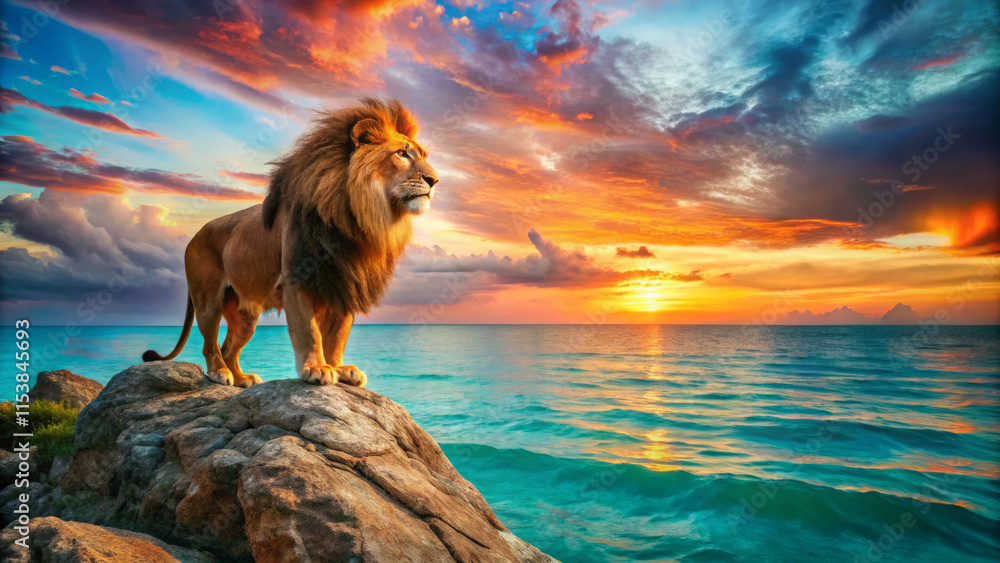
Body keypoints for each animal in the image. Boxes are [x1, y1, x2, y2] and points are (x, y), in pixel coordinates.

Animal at [142, 98, 438, 388]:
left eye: (423, 156)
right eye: (402, 154)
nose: (434, 180)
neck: (358, 218)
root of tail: (195, 234)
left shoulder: (346, 284)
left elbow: (338, 335)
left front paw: (340, 368)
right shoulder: (297, 278)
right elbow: (309, 331)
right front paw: (317, 368)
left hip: (246, 313)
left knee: (229, 348)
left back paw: (242, 379)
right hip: (207, 299)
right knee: (210, 345)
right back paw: (220, 374)